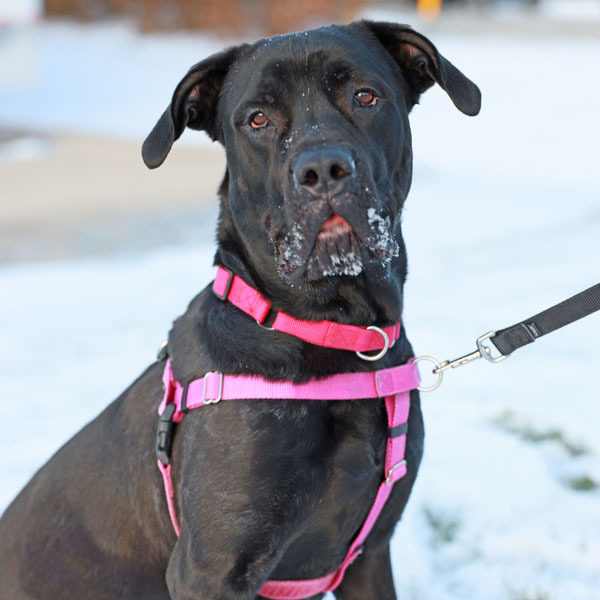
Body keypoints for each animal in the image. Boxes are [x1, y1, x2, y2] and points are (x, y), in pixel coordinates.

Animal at [0, 21, 478, 600]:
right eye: (257, 119)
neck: (335, 333)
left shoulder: (370, 555)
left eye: (365, 96)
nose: (322, 169)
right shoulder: (210, 570)